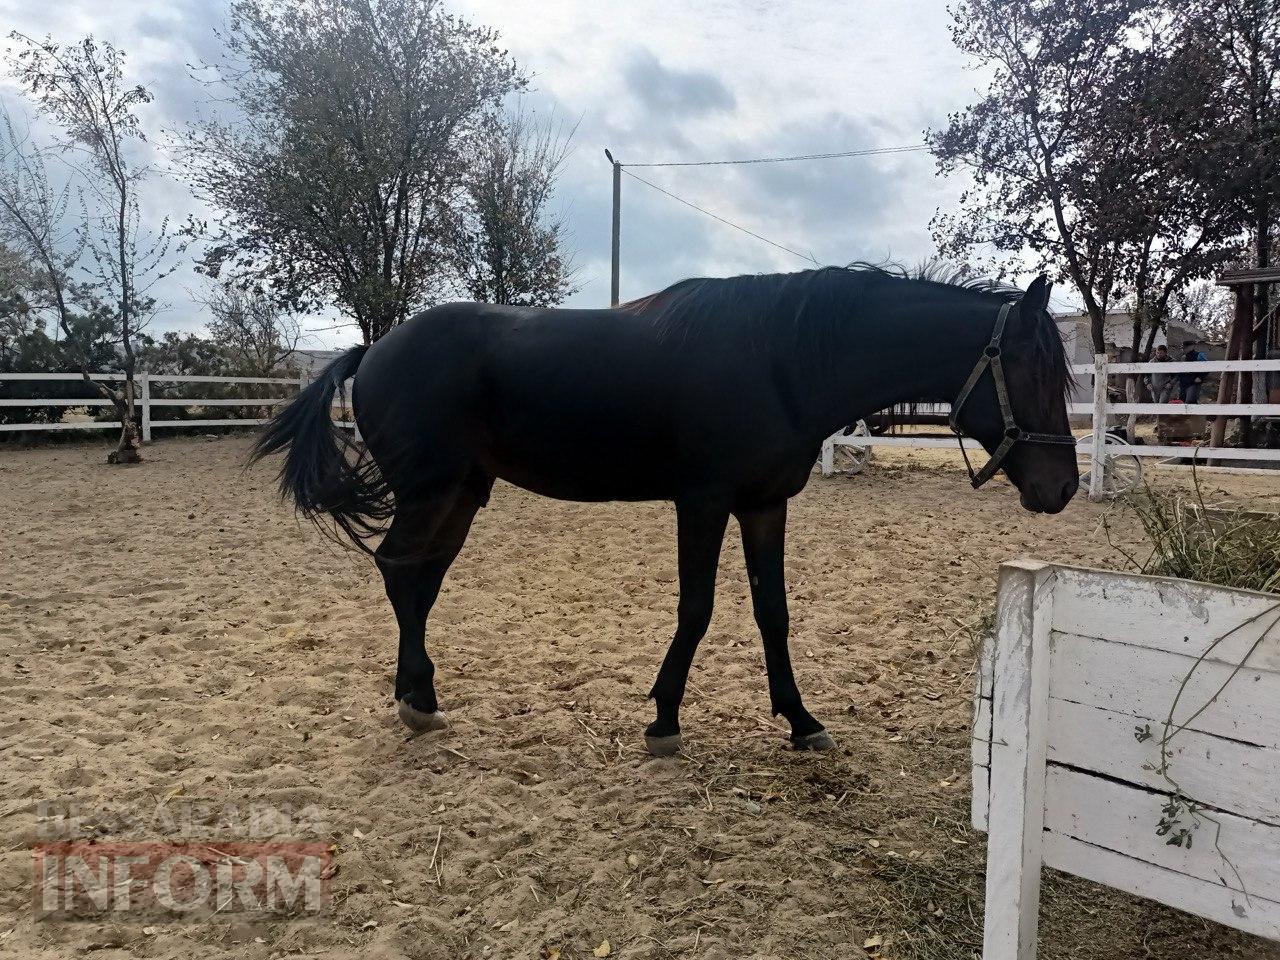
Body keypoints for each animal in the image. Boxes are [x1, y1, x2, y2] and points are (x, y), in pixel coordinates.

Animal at [252, 267, 1080, 757]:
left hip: (461, 494)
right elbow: (697, 607)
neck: (783, 359)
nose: (1063, 488)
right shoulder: (703, 502)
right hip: (433, 491)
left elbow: (773, 612)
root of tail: (373, 349)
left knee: (419, 581)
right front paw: (664, 718)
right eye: (1034, 368)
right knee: (401, 574)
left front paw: (800, 720)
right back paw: (416, 704)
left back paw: (421, 696)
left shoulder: (764, 506)